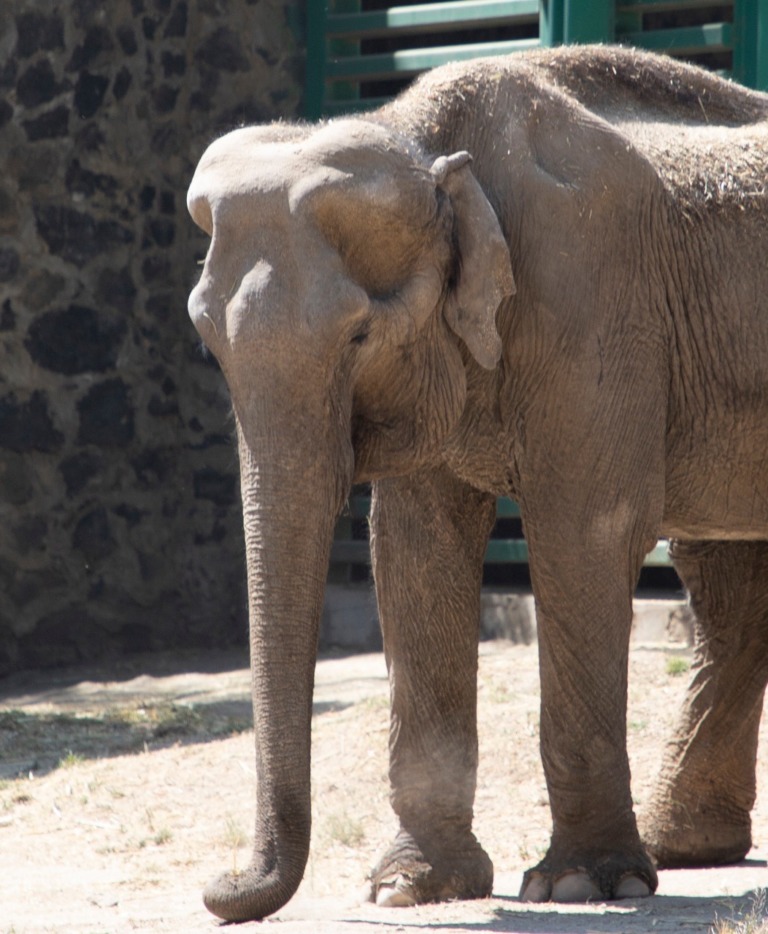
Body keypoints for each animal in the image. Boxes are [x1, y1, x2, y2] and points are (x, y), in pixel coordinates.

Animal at [186, 44, 768, 922]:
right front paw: (411, 888)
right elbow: (414, 547)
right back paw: (688, 848)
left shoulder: (592, 301)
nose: (217, 888)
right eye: (207, 339)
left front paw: (580, 885)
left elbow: (584, 534)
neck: (426, 149)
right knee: (727, 583)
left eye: (359, 335)